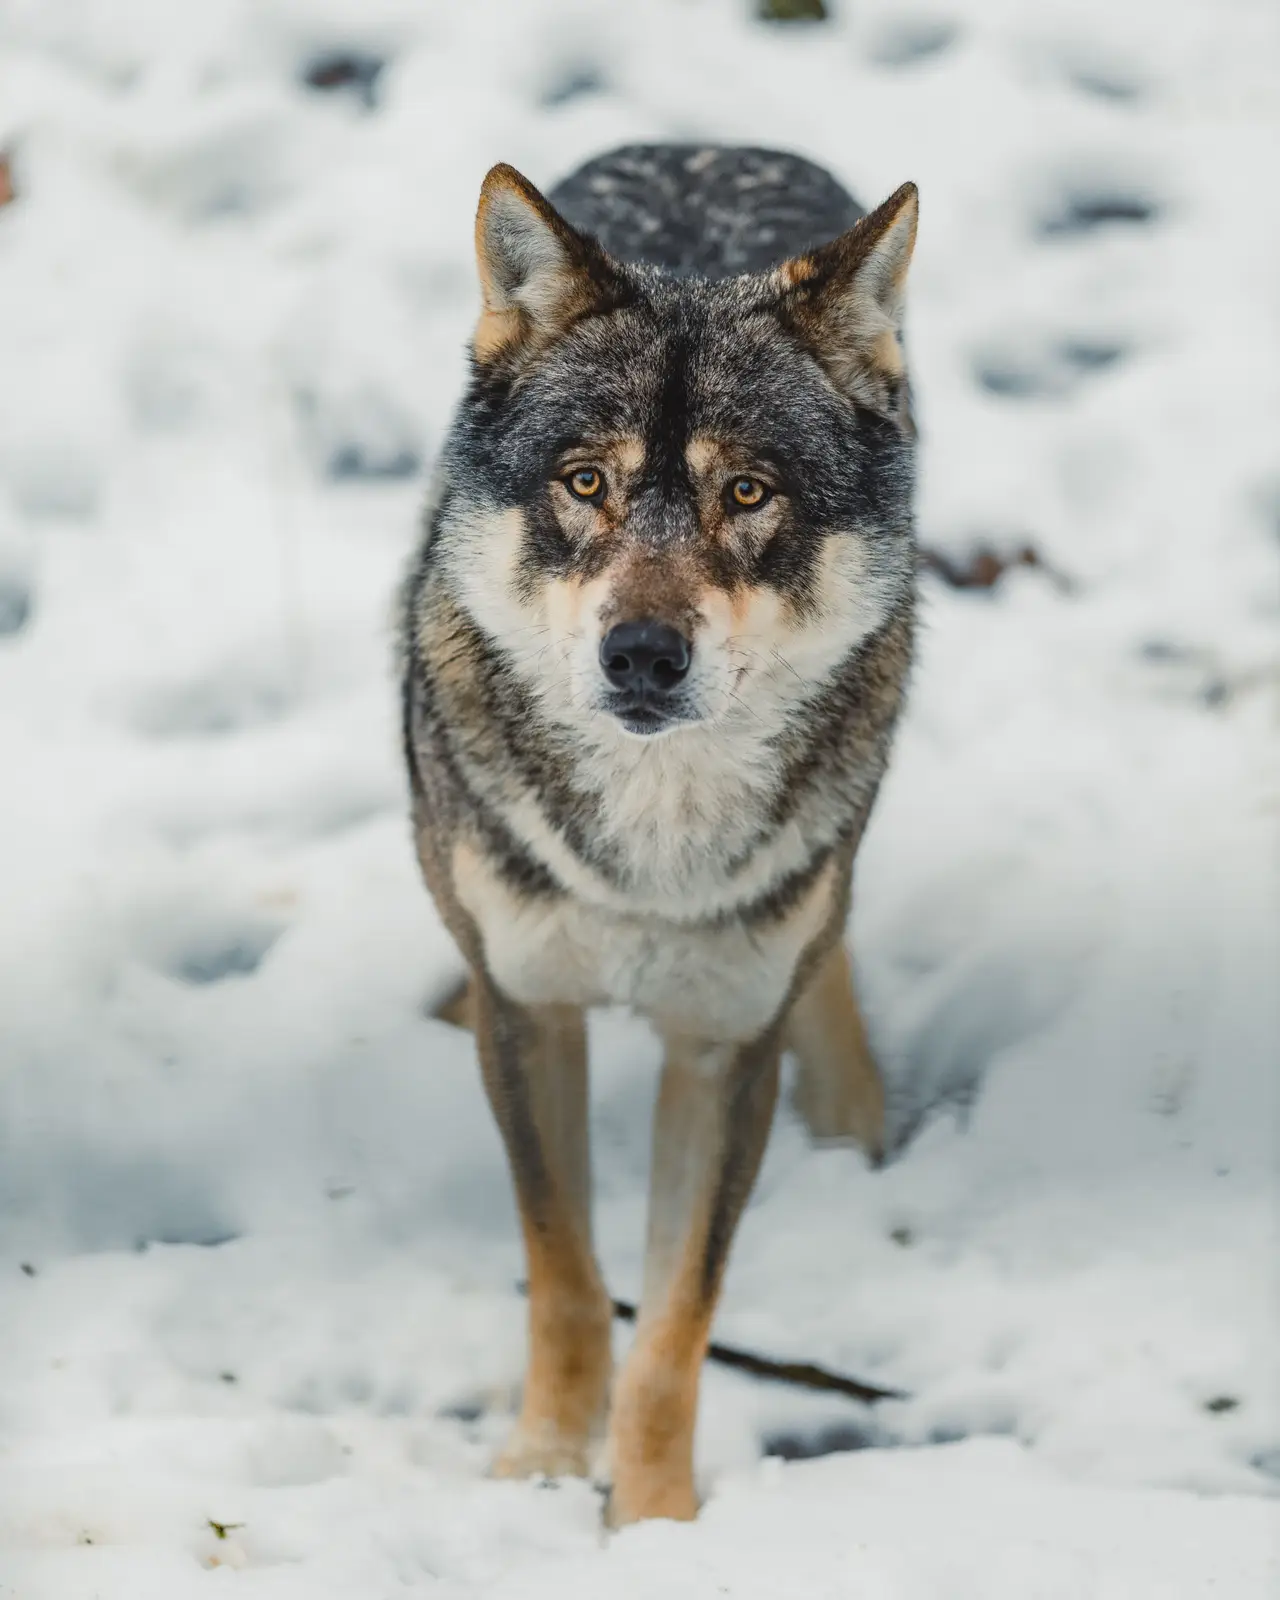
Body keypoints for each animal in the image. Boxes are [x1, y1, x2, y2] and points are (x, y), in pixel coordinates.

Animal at [399, 143, 918, 1526]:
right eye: (588, 482)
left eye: (747, 492)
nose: (640, 653)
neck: (651, 843)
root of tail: (714, 141)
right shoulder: (532, 1013)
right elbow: (568, 1275)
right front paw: (537, 1467)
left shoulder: (722, 1047)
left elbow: (677, 1319)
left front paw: (652, 1522)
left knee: (831, 930)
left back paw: (852, 1113)